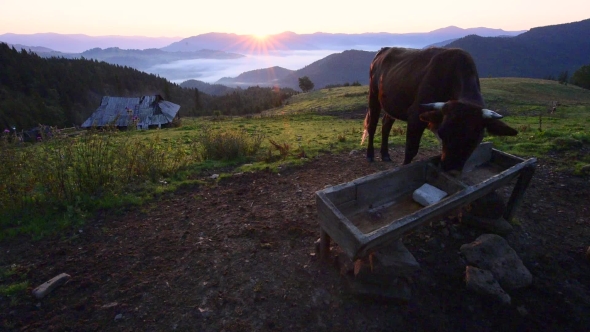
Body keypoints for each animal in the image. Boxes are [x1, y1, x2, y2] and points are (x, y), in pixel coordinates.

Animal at [364, 47, 520, 175]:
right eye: (443, 133)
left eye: (475, 139)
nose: (451, 169)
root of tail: (383, 50)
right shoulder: (415, 115)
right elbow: (411, 150)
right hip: (373, 94)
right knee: (372, 125)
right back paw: (370, 155)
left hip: (391, 104)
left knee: (386, 125)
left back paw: (385, 154)